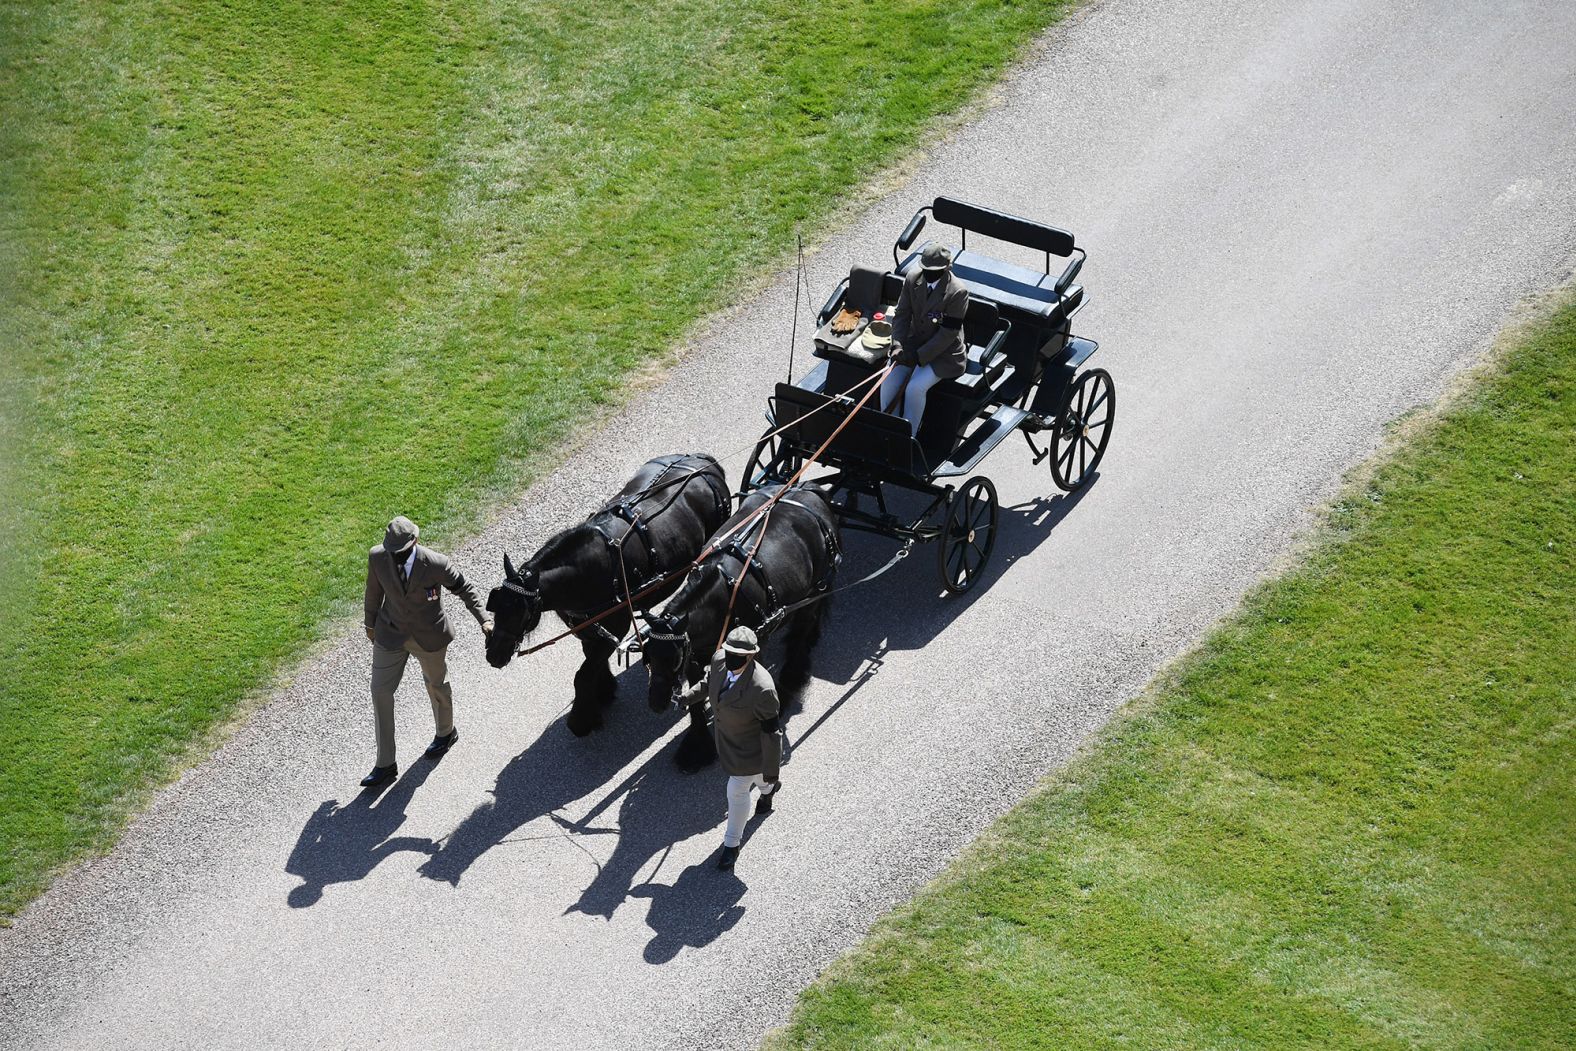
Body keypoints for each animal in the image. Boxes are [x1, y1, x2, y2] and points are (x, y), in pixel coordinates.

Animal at [485, 453, 731, 740]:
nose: (494, 655)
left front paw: (581, 719)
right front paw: (603, 692)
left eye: (520, 612)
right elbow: (590, 659)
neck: (587, 571)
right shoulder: (587, 625)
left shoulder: (616, 624)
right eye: (496, 605)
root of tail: (701, 461)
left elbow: (583, 674)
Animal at [636, 485, 844, 772]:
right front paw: (696, 746)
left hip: (815, 586)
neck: (722, 597)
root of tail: (809, 490)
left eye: (674, 660)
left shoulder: (754, 645)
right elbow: (697, 700)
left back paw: (792, 678)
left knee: (802, 629)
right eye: (647, 657)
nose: (656, 703)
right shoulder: (696, 655)